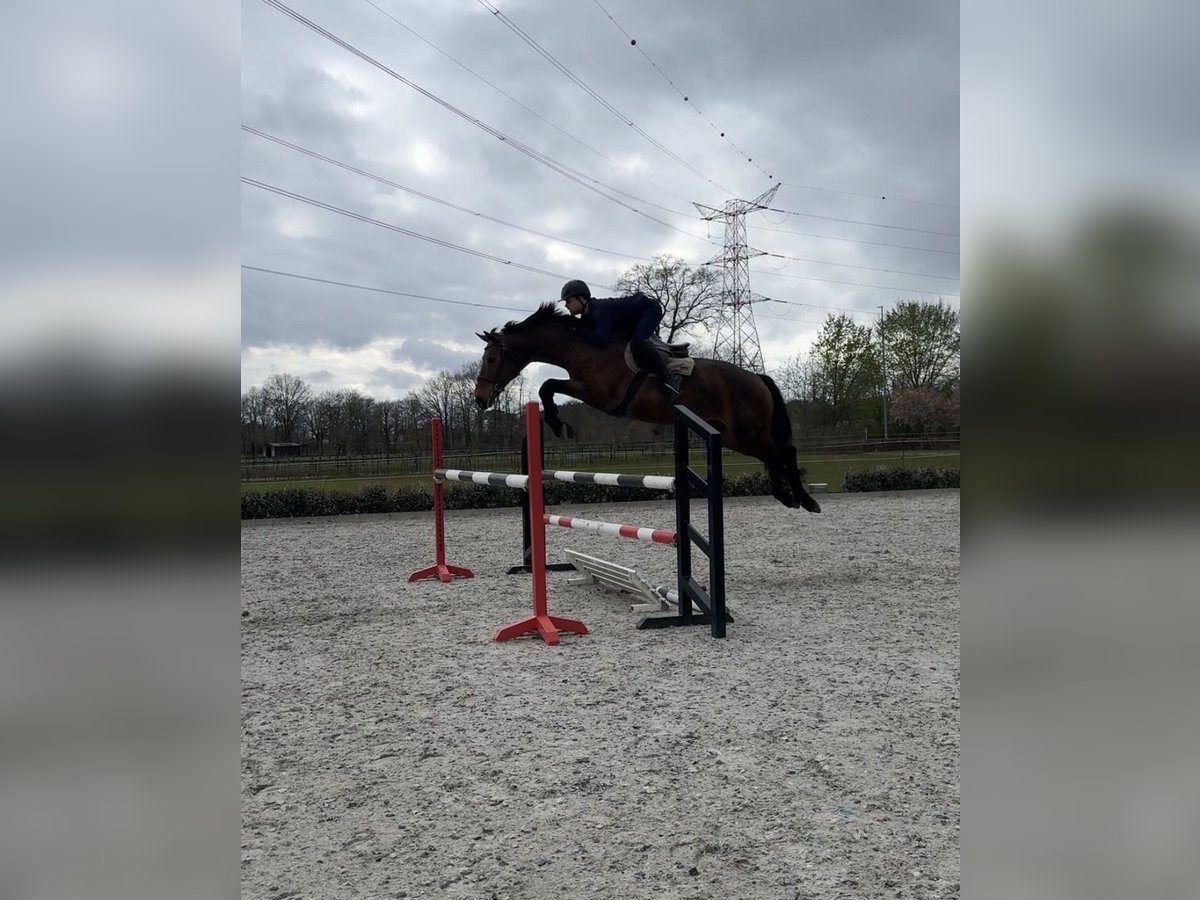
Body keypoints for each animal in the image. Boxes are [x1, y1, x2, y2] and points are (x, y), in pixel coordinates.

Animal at [473, 304, 821, 512]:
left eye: (491, 358)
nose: (479, 397)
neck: (585, 347)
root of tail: (757, 377)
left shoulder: (599, 394)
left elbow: (548, 386)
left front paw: (560, 426)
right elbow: (548, 392)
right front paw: (559, 424)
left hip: (748, 433)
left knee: (782, 452)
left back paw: (800, 499)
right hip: (735, 436)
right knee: (776, 454)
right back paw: (792, 497)